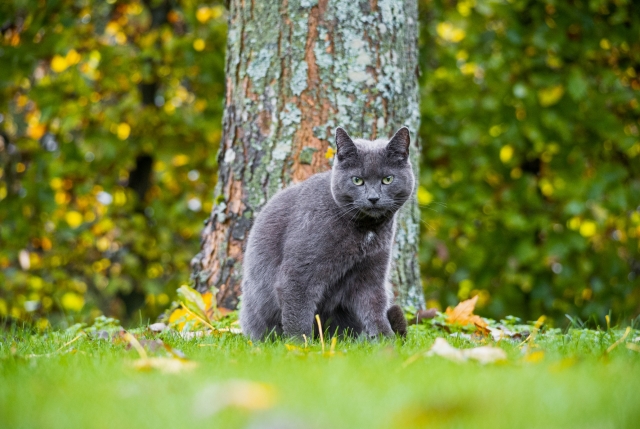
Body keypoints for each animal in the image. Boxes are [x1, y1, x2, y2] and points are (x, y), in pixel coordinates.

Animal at [238, 125, 412, 340]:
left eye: (387, 179)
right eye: (357, 180)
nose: (373, 198)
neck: (366, 230)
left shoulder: (371, 272)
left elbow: (375, 307)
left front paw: (386, 340)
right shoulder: (299, 271)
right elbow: (298, 311)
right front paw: (299, 344)